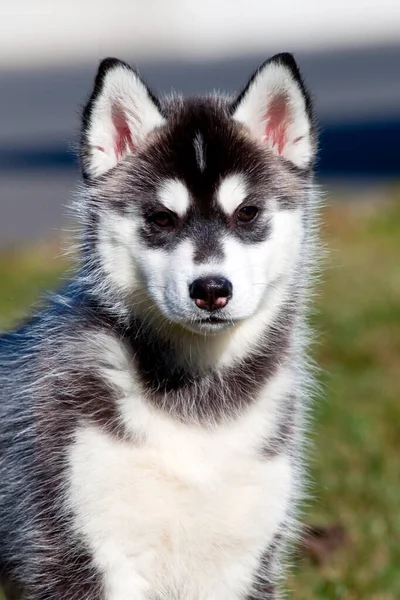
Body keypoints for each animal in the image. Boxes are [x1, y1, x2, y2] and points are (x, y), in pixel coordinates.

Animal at [0, 54, 318, 596]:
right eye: (162, 218)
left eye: (247, 213)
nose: (210, 289)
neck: (199, 408)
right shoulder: (74, 549)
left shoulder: (244, 559)